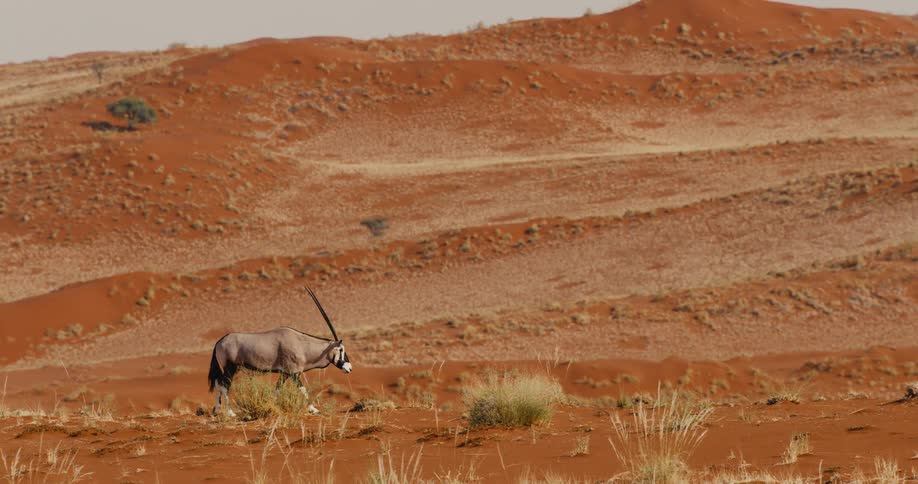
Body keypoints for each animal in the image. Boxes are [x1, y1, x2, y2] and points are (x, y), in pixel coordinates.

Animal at [208, 287, 351, 416]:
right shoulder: (293, 373)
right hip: (229, 368)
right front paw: (313, 409)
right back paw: (230, 413)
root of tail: (220, 341)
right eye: (341, 349)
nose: (349, 368)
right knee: (224, 386)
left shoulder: (285, 374)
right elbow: (303, 390)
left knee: (218, 384)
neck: (301, 344)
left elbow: (276, 390)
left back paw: (217, 411)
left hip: (227, 369)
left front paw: (268, 405)